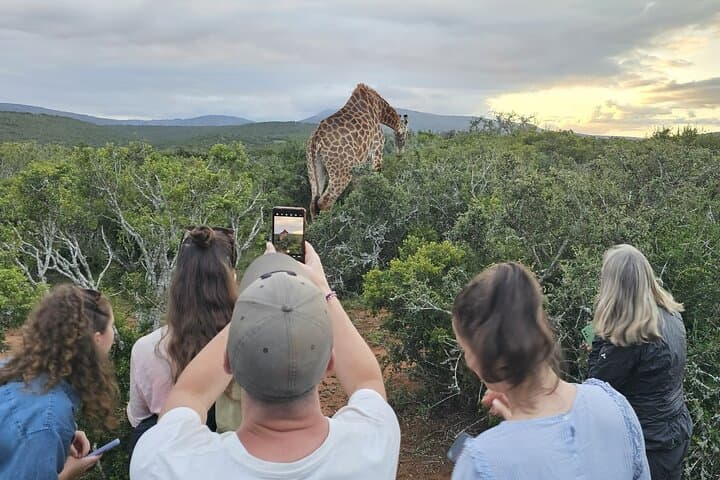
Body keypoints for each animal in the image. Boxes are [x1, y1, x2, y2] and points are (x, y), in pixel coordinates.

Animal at [306, 84, 409, 219]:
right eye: (407, 134)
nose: (400, 152)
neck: (380, 110)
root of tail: (315, 140)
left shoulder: (361, 159)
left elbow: (359, 187)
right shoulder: (377, 147)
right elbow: (375, 177)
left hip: (314, 168)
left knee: (313, 203)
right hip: (342, 170)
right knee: (325, 202)